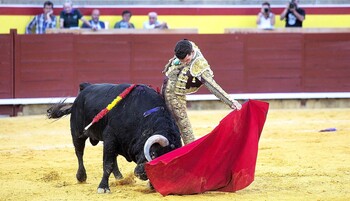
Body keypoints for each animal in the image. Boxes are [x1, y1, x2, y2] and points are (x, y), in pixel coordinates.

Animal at [46, 83, 182, 193]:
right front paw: (103, 187)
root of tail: (84, 88)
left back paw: (118, 177)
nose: (142, 174)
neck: (143, 117)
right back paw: (81, 177)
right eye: (153, 154)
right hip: (77, 132)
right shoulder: (110, 137)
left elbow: (111, 160)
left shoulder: (112, 141)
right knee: (79, 152)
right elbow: (108, 164)